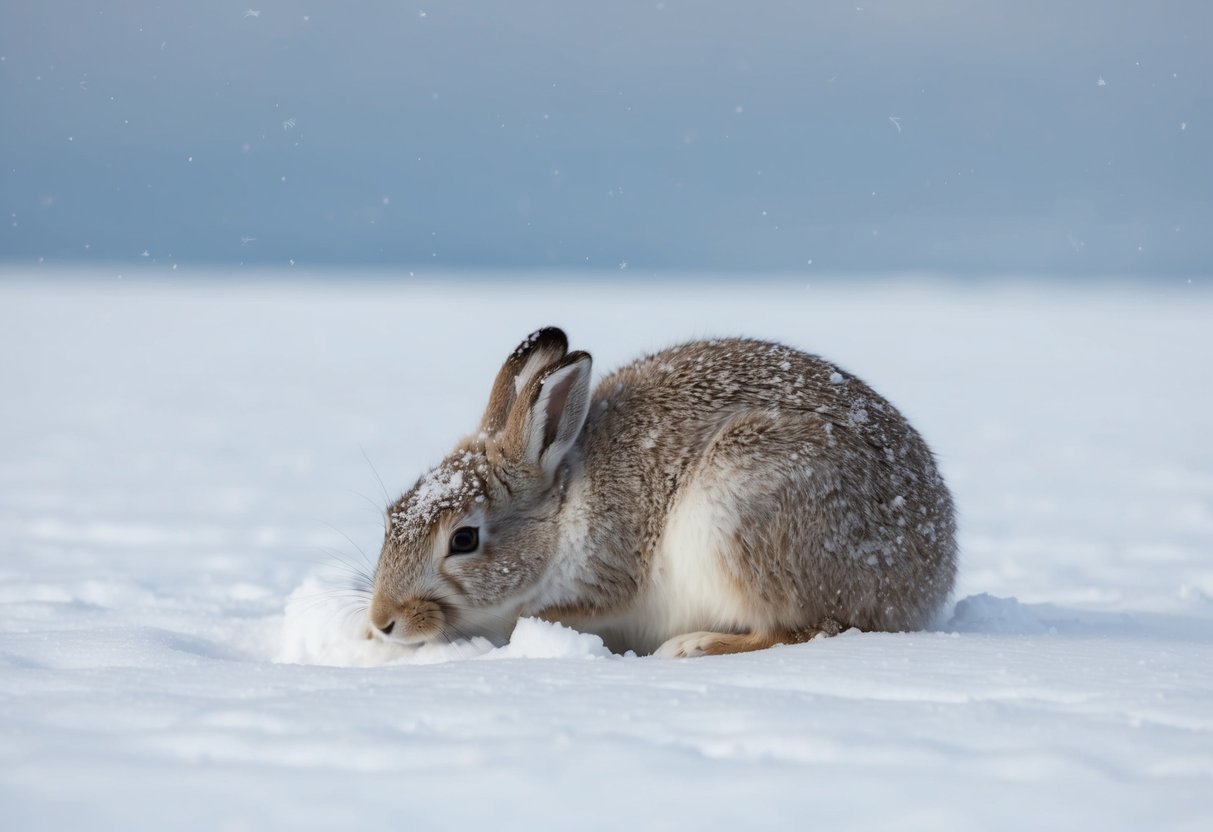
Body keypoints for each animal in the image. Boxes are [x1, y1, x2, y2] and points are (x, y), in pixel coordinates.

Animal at [369, 327, 957, 658]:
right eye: (391, 517)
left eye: (464, 540)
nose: (381, 622)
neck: (559, 511)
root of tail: (928, 578)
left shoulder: (606, 573)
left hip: (743, 509)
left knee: (808, 627)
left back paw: (693, 646)